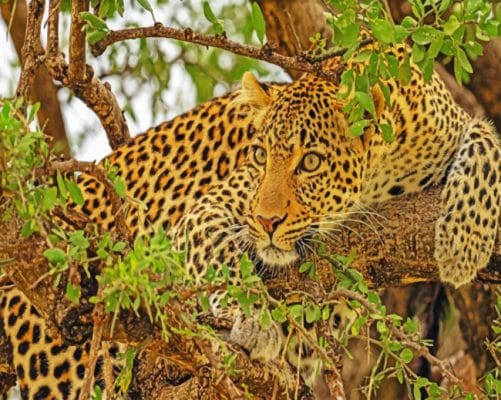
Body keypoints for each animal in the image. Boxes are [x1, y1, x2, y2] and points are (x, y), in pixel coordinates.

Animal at [0, 42, 500, 398]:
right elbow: (224, 258)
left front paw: (462, 245)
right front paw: (254, 318)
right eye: (260, 155)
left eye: (311, 162)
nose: (266, 221)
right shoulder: (207, 209)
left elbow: (486, 142)